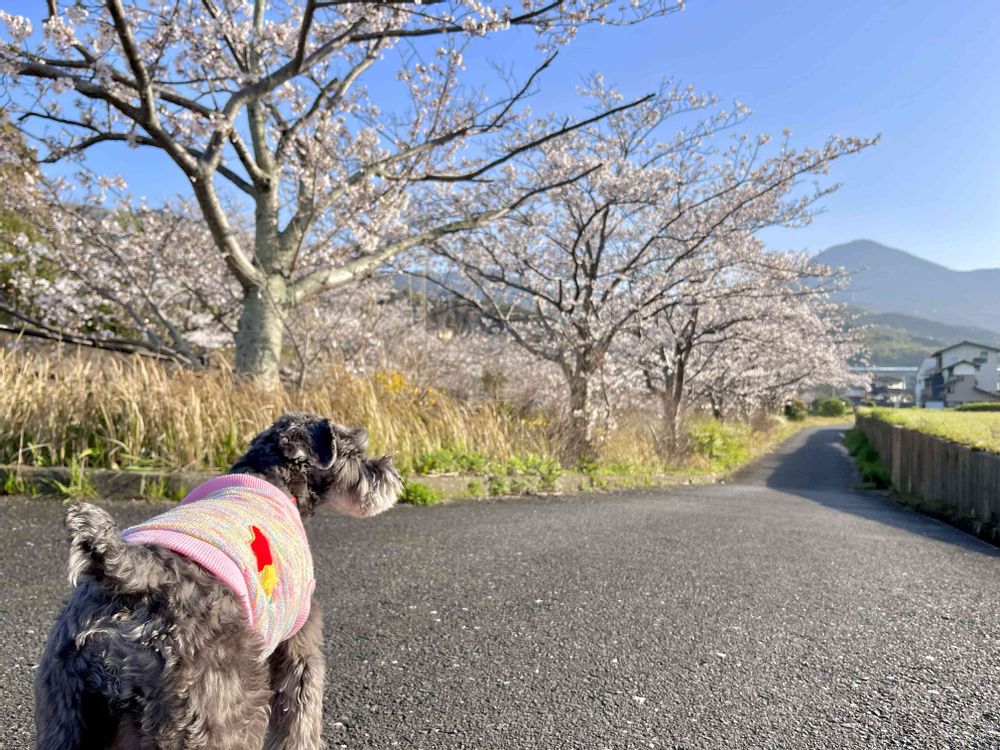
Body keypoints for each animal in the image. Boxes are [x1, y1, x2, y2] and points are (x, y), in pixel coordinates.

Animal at [34, 412, 402, 750]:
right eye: (356, 451)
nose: (392, 474)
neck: (272, 479)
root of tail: (137, 575)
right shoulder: (300, 642)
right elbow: (300, 718)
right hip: (217, 707)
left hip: (68, 709)